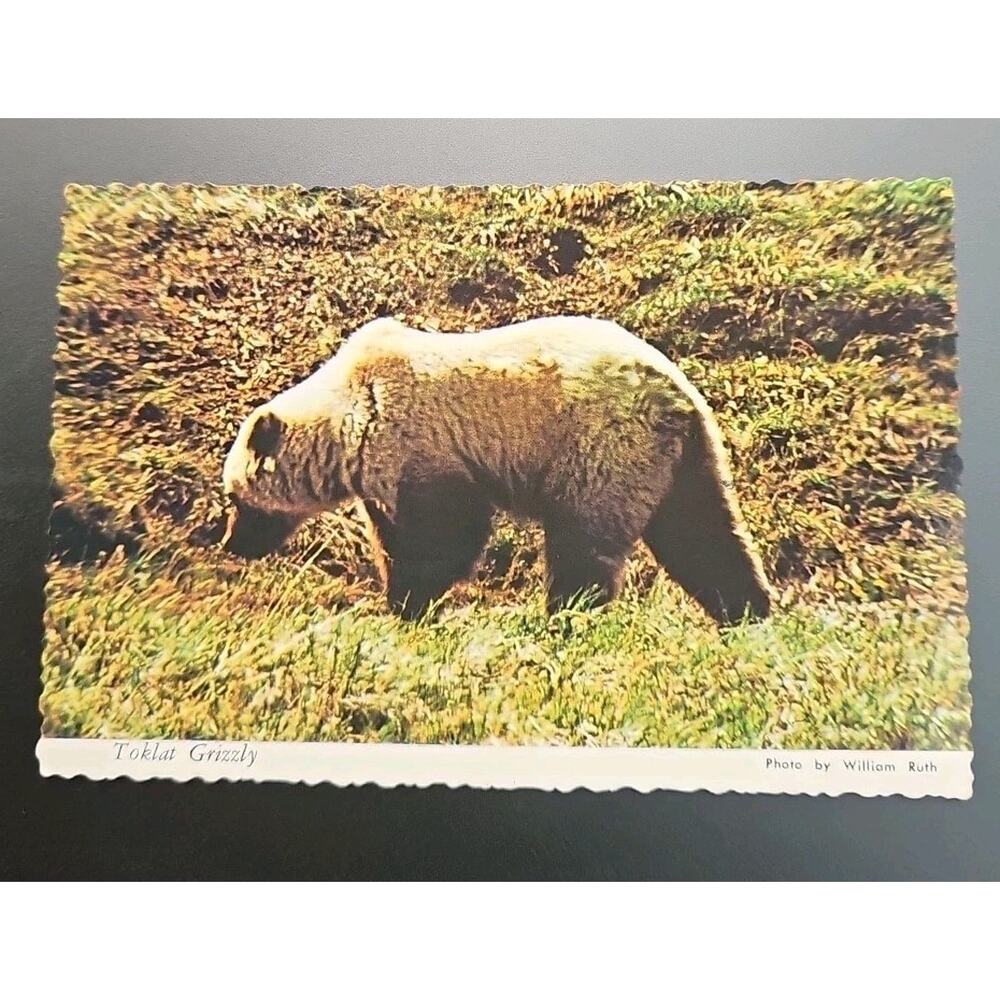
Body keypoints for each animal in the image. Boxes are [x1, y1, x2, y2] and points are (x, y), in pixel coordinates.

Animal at [221, 316, 773, 623]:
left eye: (237, 499)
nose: (232, 543)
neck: (344, 414)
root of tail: (677, 392)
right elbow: (396, 534)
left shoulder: (415, 438)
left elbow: (445, 533)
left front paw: (408, 603)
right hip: (680, 457)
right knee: (701, 531)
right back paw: (748, 613)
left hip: (602, 442)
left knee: (583, 540)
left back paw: (566, 616)